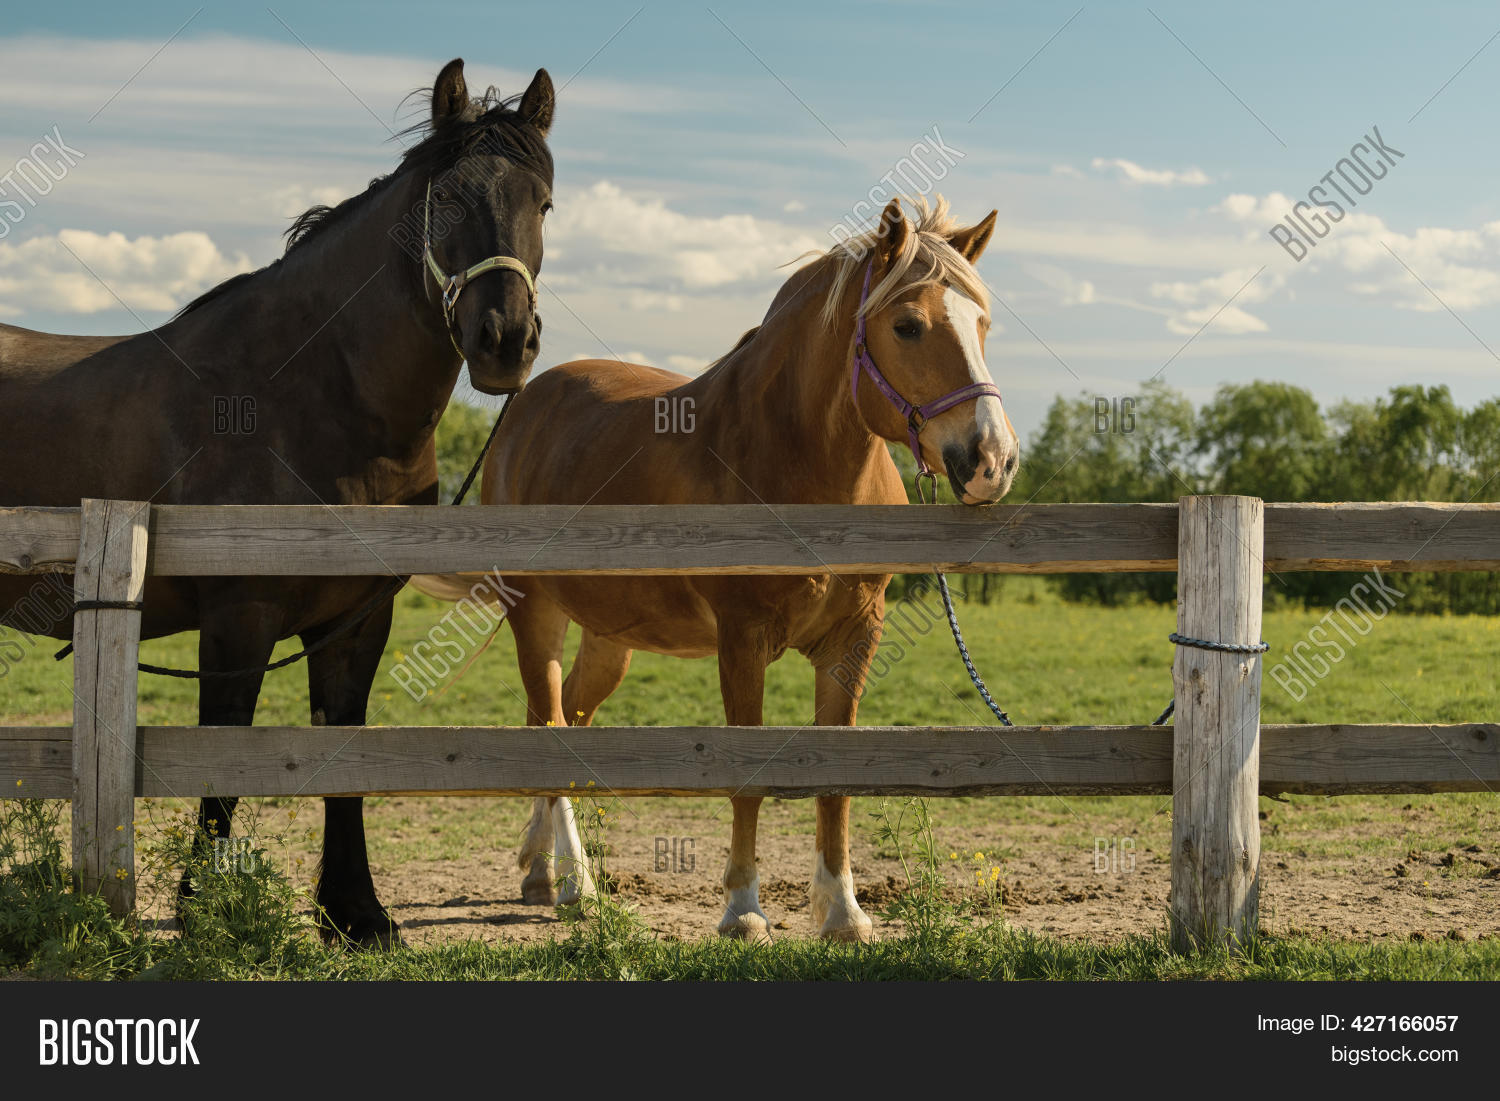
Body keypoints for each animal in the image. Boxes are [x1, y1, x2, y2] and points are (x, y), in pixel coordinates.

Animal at [0, 58, 556, 947]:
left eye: (542, 203)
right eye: (447, 198)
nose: (505, 339)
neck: (305, 398)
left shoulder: (356, 620)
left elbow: (344, 747)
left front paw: (355, 911)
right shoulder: (241, 616)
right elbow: (225, 750)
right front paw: (203, 904)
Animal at [413, 195, 1018, 941]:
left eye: (982, 323)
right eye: (908, 325)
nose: (992, 459)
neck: (794, 457)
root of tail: (525, 405)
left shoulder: (854, 639)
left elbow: (837, 776)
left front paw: (843, 911)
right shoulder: (742, 641)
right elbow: (746, 773)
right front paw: (743, 910)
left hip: (609, 638)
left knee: (561, 720)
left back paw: (540, 870)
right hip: (537, 613)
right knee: (550, 726)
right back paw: (578, 882)